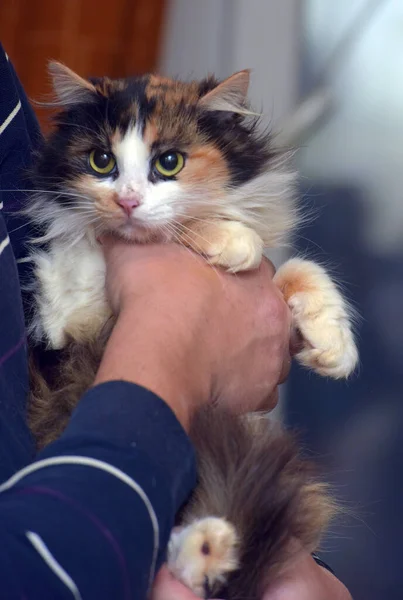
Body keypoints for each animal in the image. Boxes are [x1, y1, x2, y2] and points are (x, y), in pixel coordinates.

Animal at [25, 63, 358, 596]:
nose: (127, 201)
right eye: (101, 161)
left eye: (169, 163)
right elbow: (168, 229)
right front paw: (231, 238)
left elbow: (300, 269)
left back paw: (210, 549)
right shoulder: (70, 303)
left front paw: (334, 346)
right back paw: (207, 548)